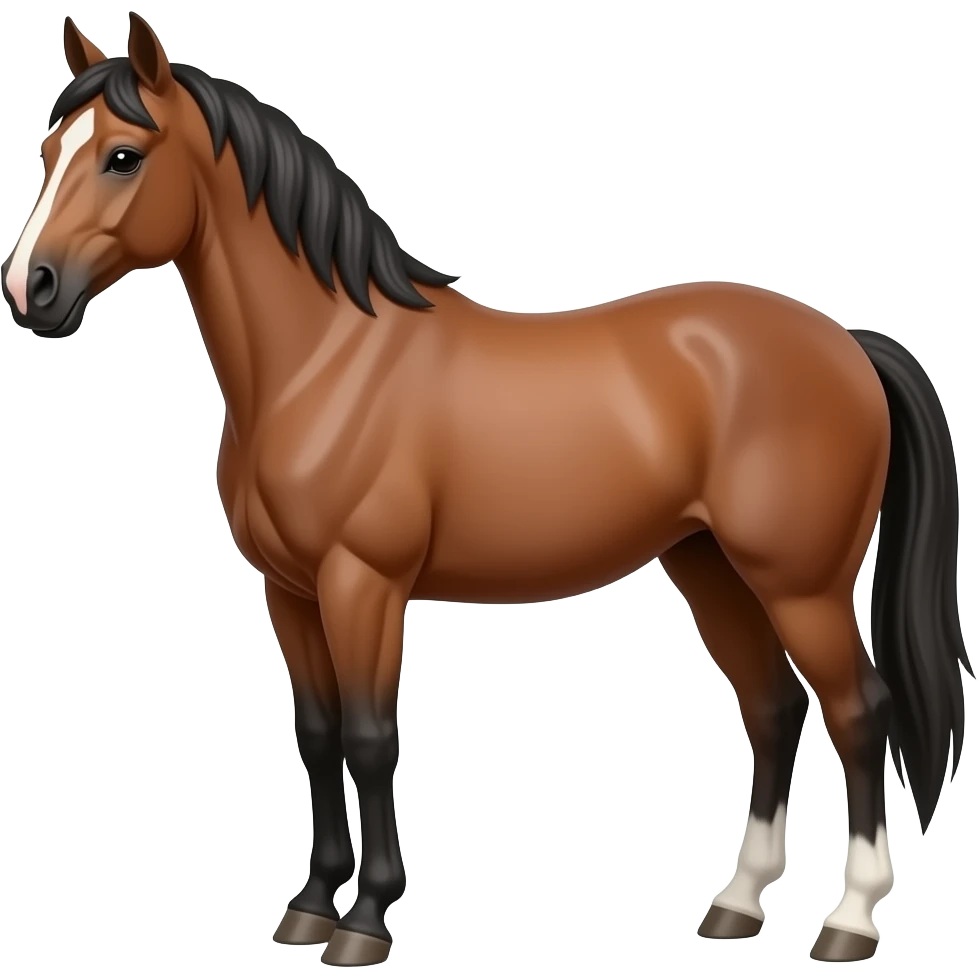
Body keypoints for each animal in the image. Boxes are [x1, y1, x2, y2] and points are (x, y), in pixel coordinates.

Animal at [2, 13, 972, 967]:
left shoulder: (363, 584)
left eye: (123, 156)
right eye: (49, 151)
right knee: (772, 709)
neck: (326, 360)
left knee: (858, 713)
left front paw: (364, 921)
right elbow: (316, 736)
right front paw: (310, 906)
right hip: (711, 567)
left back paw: (849, 920)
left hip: (800, 584)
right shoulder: (290, 591)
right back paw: (735, 903)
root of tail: (844, 341)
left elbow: (369, 739)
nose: (29, 287)